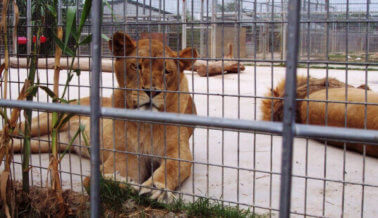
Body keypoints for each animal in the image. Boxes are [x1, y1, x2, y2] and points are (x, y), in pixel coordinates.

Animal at [7, 31, 199, 202]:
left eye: (167, 71)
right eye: (137, 66)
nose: (152, 91)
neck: (146, 124)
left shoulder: (178, 152)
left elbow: (171, 169)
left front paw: (157, 190)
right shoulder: (125, 154)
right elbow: (90, 181)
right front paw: (121, 181)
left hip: (45, 143)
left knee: (19, 143)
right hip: (47, 120)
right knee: (14, 128)